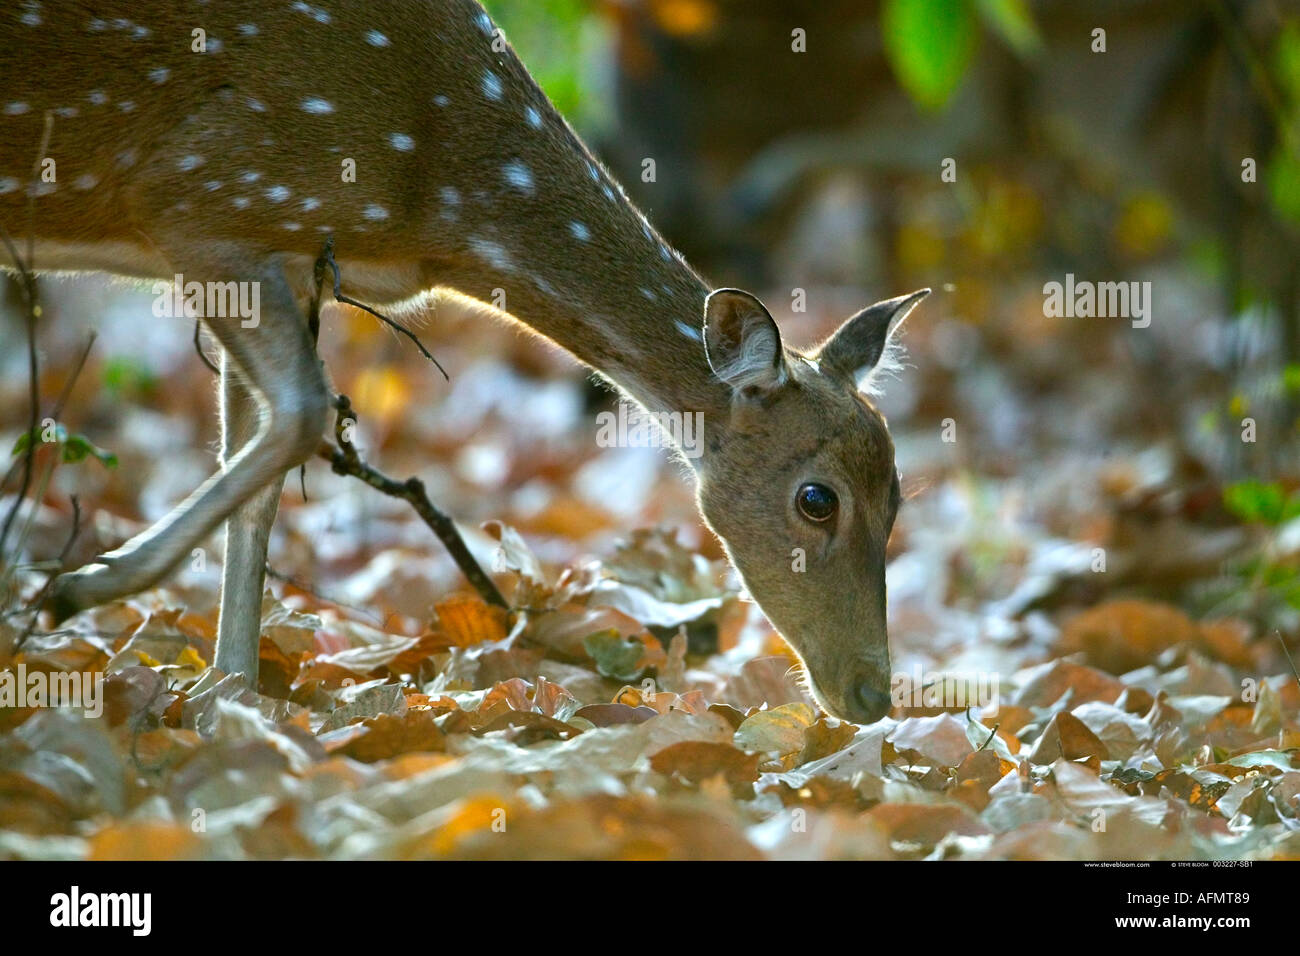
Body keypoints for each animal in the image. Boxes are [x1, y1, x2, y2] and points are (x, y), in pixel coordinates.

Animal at [5, 0, 930, 723]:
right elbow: (302, 413)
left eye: (899, 498)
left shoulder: (279, 250)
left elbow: (256, 474)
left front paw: (225, 696)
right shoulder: (199, 199)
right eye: (817, 499)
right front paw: (78, 587)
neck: (434, 201)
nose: (872, 696)